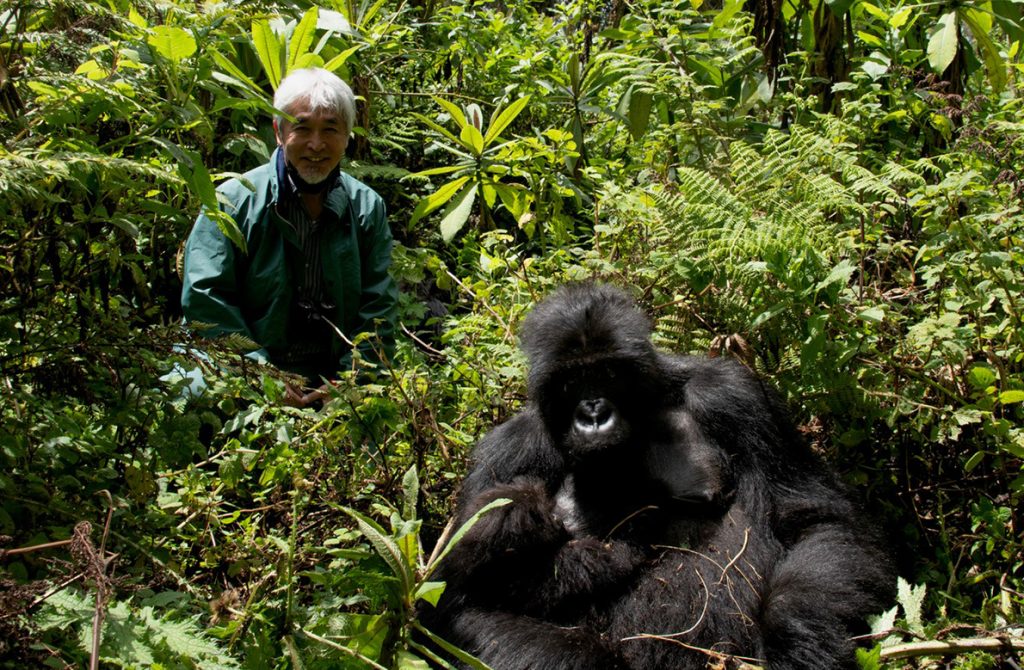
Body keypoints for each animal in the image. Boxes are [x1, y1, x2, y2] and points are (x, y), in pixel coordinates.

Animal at [419, 282, 892, 670]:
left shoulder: (732, 395)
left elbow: (813, 519)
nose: (593, 414)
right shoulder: (508, 453)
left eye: (608, 374)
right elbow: (455, 599)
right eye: (572, 381)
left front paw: (797, 640)